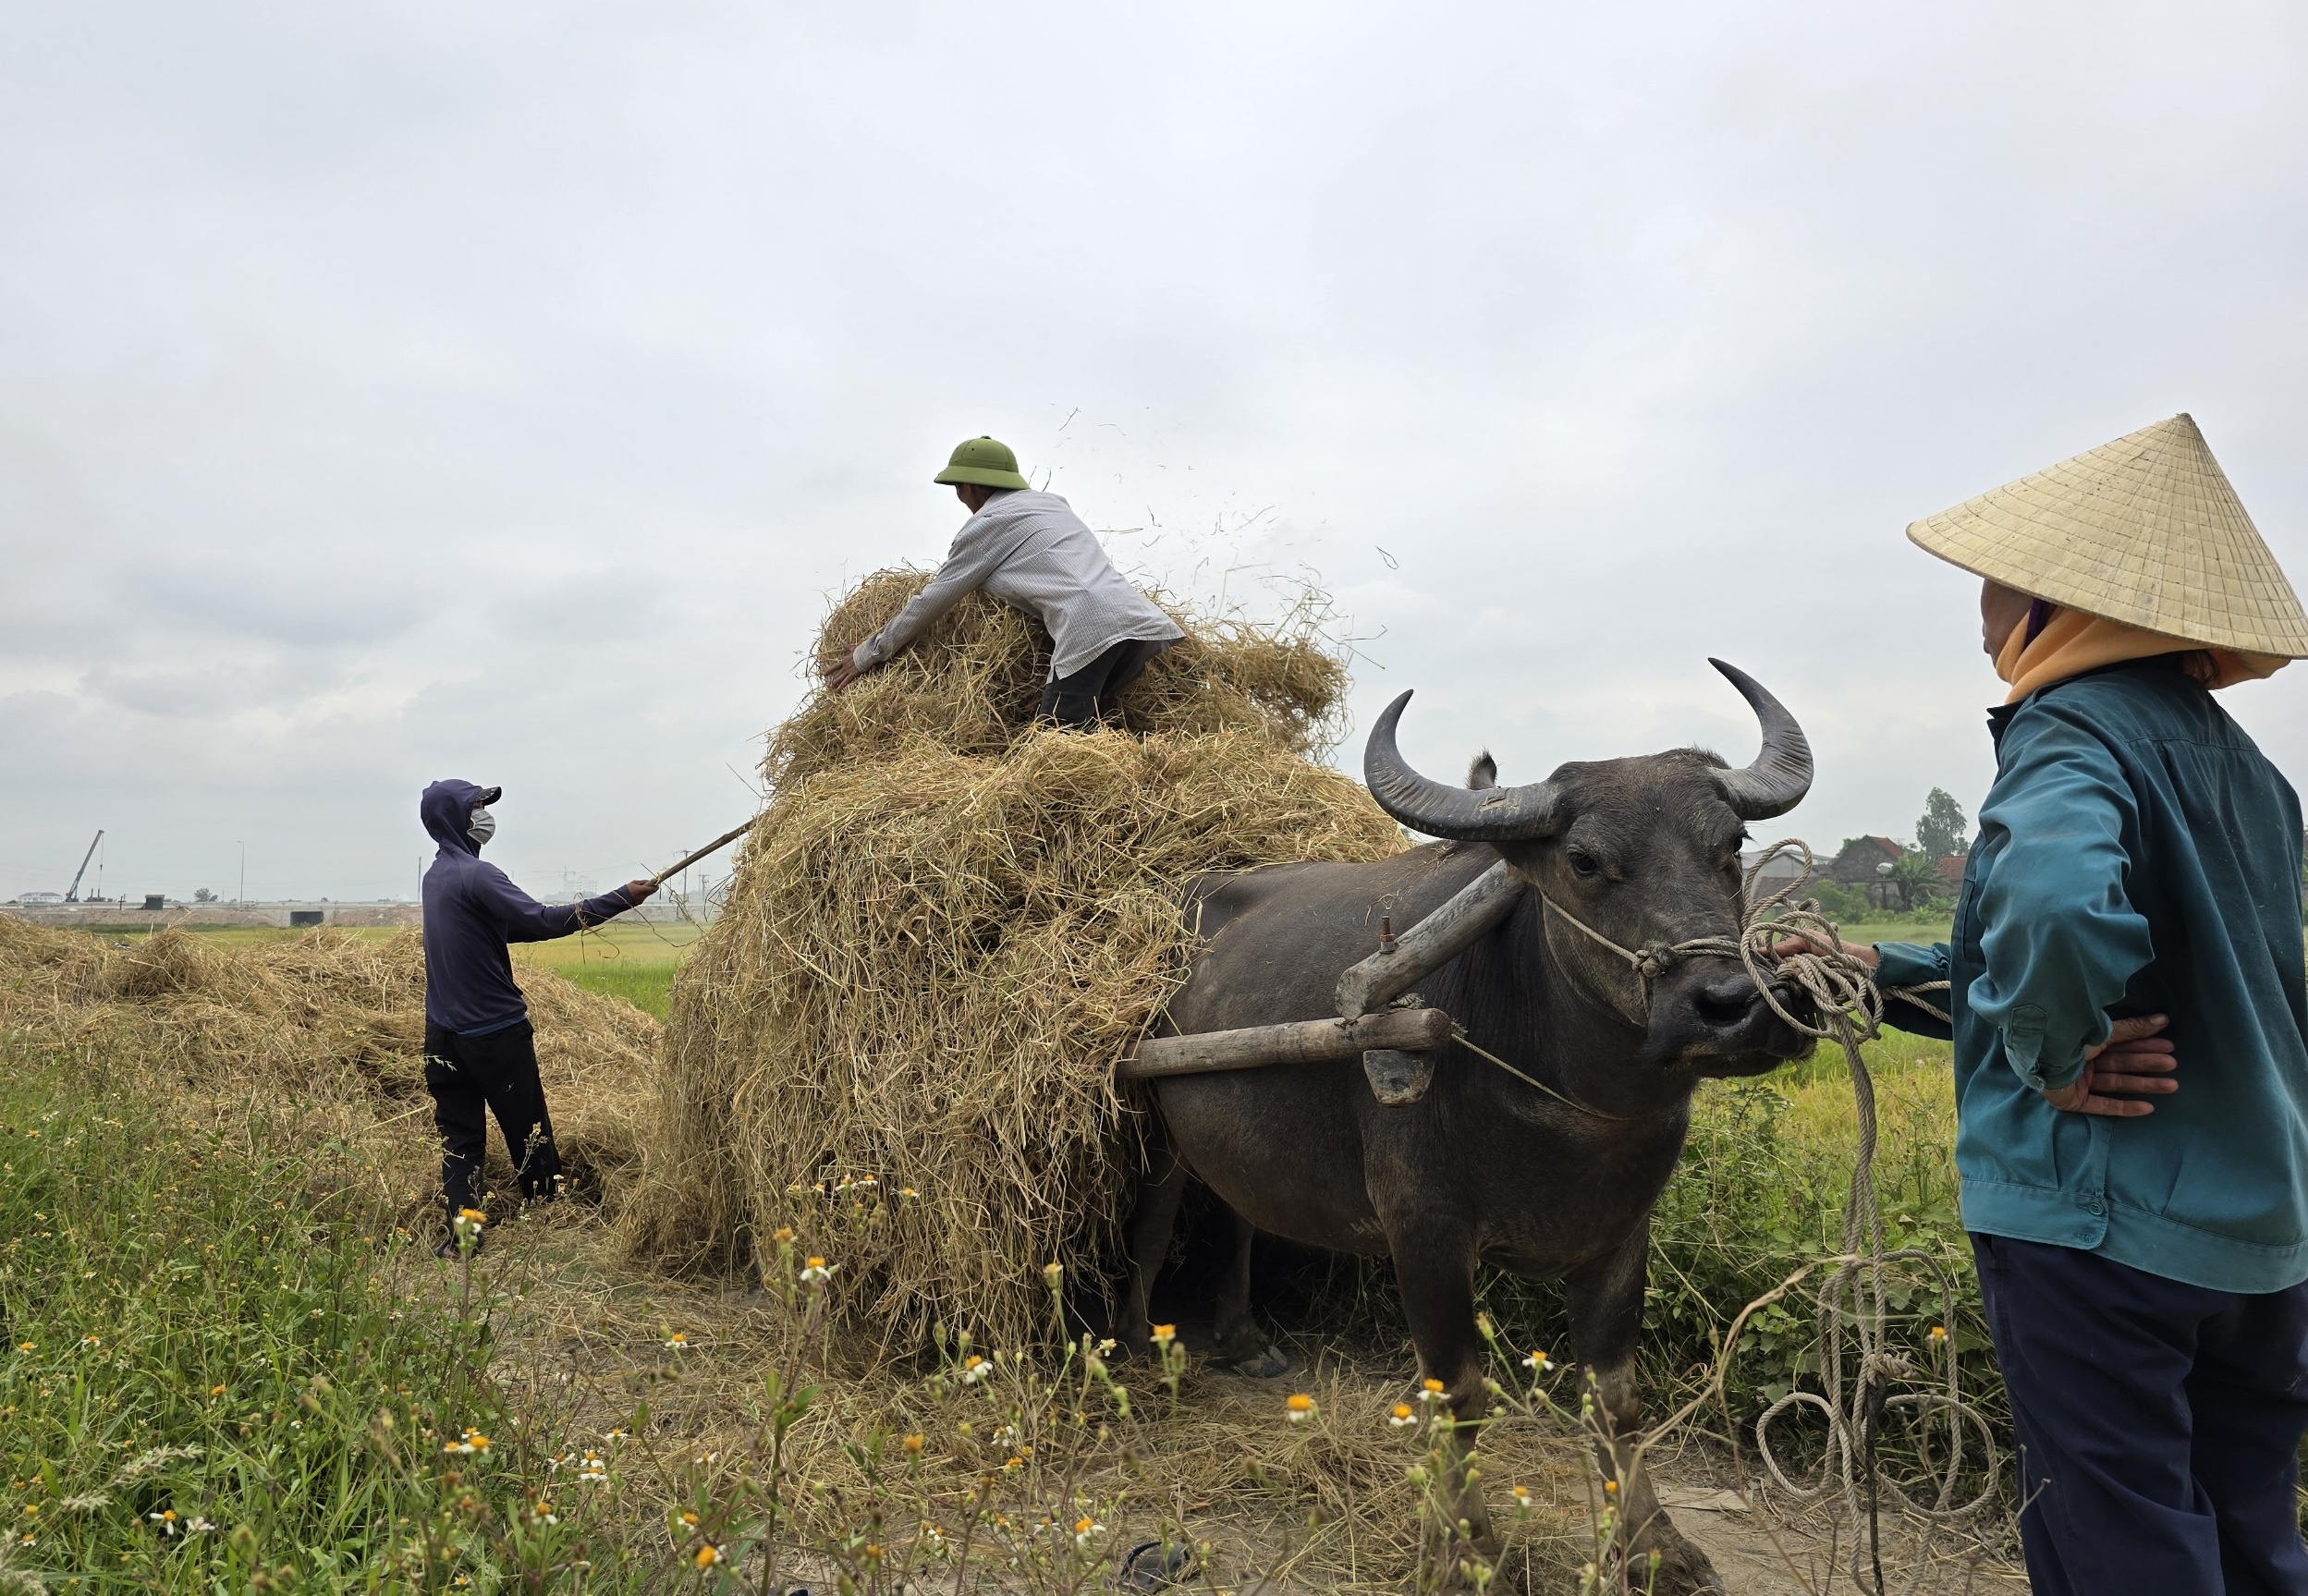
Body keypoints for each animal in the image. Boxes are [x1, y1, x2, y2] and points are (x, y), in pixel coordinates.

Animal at [1121, 659, 1818, 1587]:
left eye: (1732, 845)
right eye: (1584, 859)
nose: (1733, 1007)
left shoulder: (1621, 1231)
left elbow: (1615, 1394)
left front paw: (1654, 1543)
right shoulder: (1422, 1229)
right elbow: (1457, 1393)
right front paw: (1466, 1549)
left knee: (1236, 1209)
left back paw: (1242, 1339)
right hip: (1152, 1123)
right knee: (1154, 1218)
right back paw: (1135, 1343)